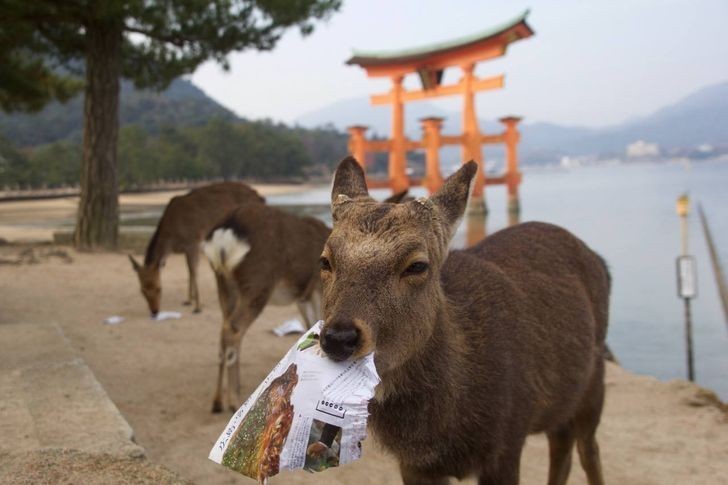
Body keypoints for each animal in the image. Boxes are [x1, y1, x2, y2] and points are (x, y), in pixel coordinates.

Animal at [129, 181, 264, 314]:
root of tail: (260, 197)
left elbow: (193, 270)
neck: (171, 239)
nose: (154, 311)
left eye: (159, 288)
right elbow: (189, 270)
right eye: (142, 290)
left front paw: (197, 307)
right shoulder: (187, 248)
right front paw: (189, 300)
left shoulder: (193, 242)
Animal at [318, 157, 608, 482]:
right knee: (563, 443)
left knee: (587, 449)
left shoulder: (508, 437)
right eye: (325, 260)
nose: (339, 338)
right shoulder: (413, 463)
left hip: (594, 379)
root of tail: (599, 260)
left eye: (417, 265)